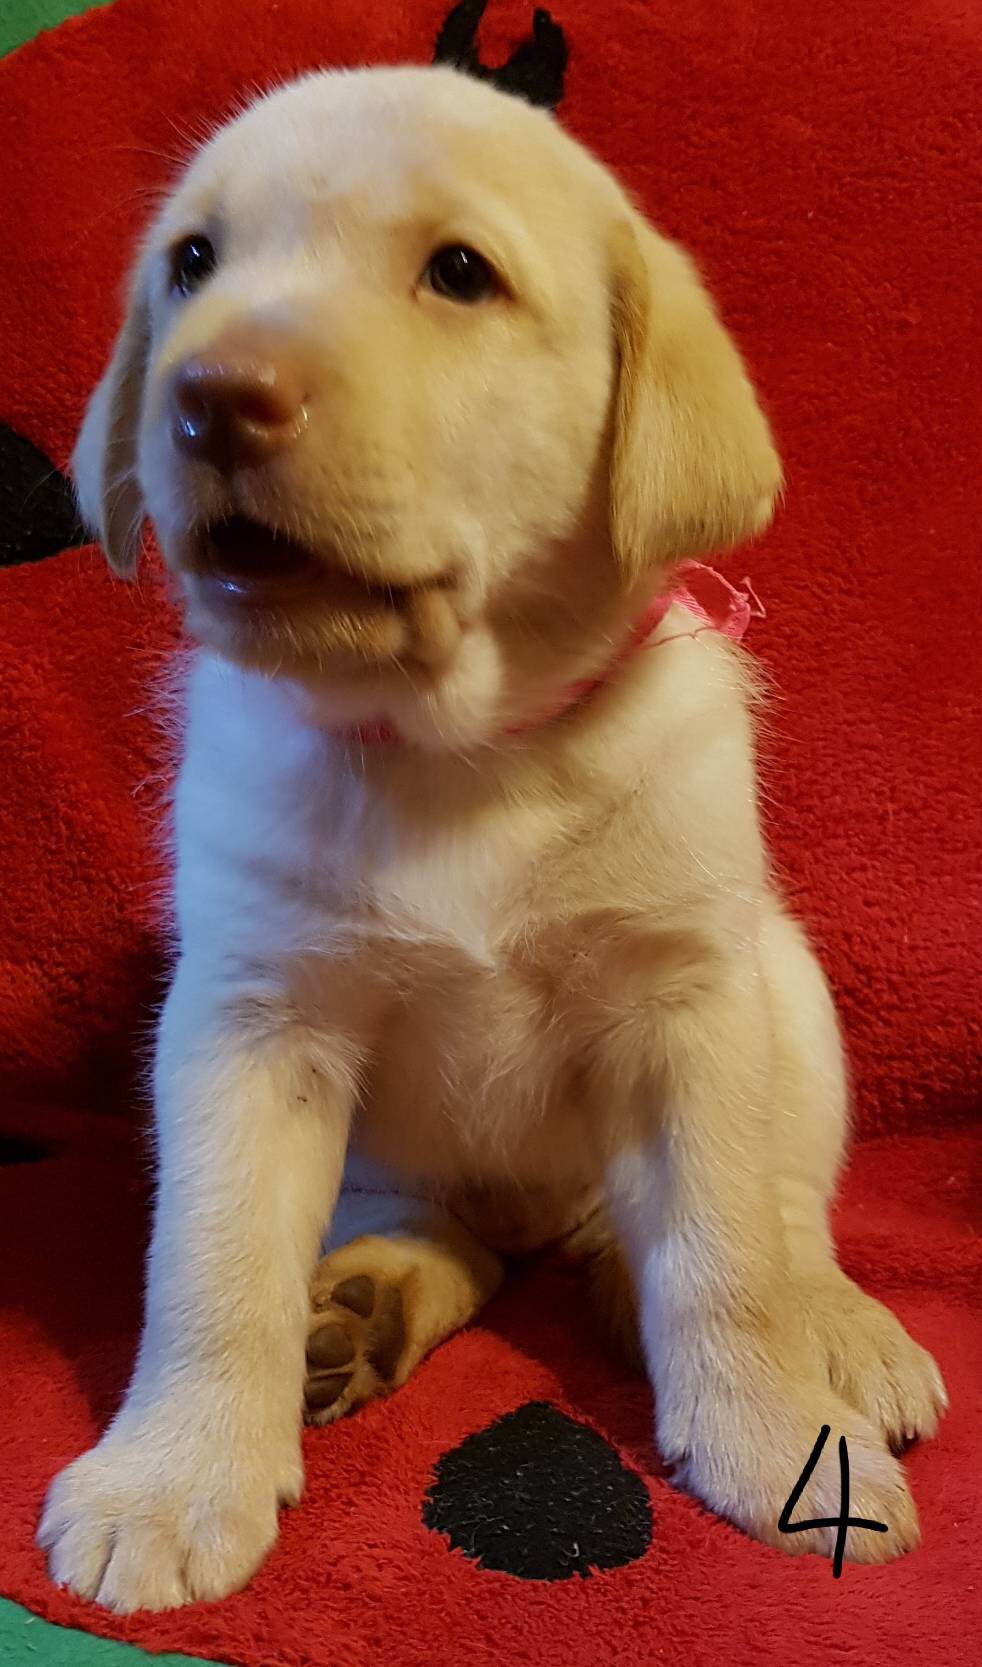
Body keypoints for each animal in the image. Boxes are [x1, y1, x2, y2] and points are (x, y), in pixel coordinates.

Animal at [38, 65, 946, 1612]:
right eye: (194, 263)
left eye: (458, 274)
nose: (210, 396)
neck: (457, 748)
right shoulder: (248, 1022)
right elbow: (211, 1264)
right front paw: (173, 1474)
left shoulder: (686, 1008)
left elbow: (719, 1258)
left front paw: (772, 1441)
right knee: (437, 1228)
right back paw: (364, 1303)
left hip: (789, 988)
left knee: (774, 1215)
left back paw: (827, 1326)